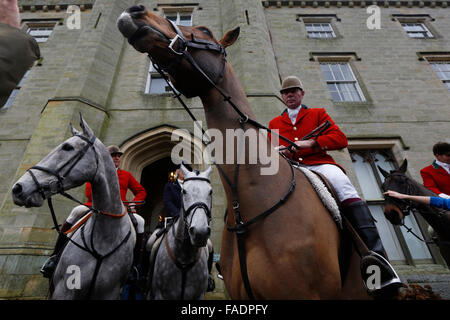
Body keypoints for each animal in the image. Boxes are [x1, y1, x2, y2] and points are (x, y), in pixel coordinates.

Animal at [146, 165, 213, 300]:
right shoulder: (161, 295)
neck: (185, 255)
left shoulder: (198, 295)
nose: (200, 232)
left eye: (210, 192)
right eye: (184, 191)